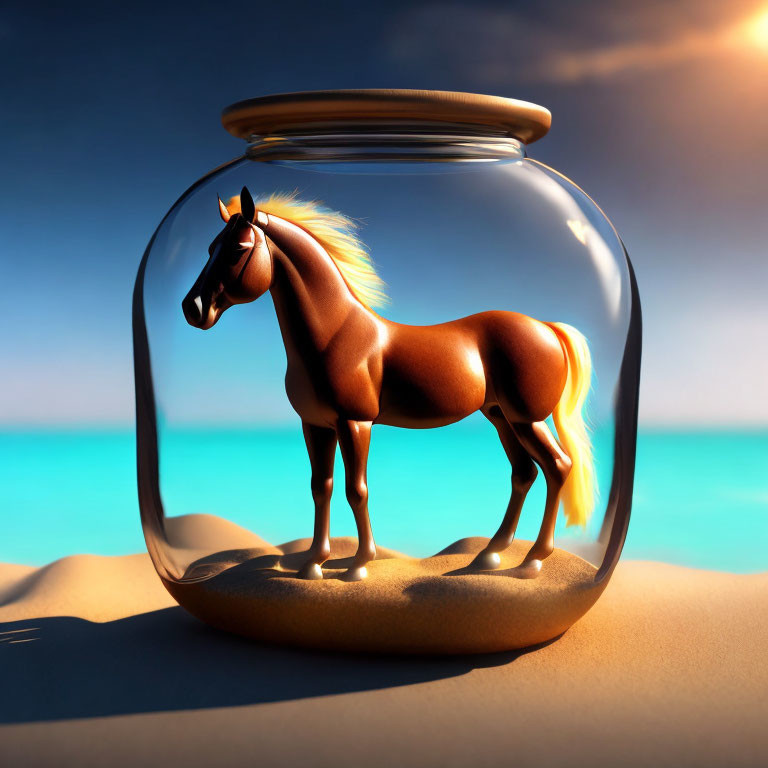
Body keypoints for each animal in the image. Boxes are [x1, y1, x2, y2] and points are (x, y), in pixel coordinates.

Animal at [182, 188, 592, 584]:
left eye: (238, 248)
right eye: (210, 248)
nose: (193, 308)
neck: (335, 334)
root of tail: (546, 327)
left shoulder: (355, 423)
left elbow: (356, 489)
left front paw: (359, 564)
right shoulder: (315, 425)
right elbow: (321, 487)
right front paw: (314, 563)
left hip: (527, 419)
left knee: (558, 467)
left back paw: (532, 560)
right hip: (500, 417)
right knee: (524, 473)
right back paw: (489, 555)